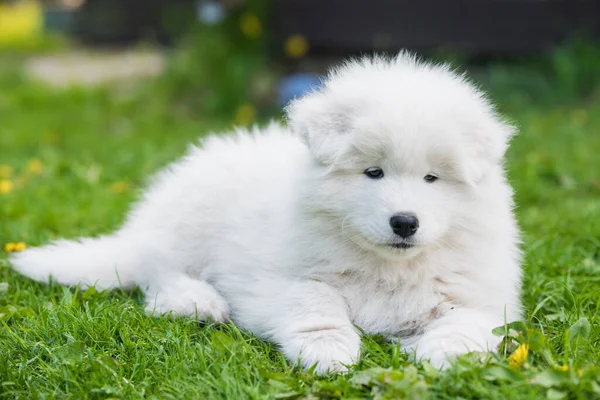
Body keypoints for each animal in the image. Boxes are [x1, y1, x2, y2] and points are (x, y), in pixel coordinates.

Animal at [11, 52, 524, 372]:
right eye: (373, 172)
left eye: (432, 178)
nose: (404, 222)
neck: (389, 266)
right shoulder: (276, 280)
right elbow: (316, 301)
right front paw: (329, 351)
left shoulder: (480, 292)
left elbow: (468, 320)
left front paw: (443, 355)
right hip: (188, 224)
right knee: (157, 275)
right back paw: (199, 302)